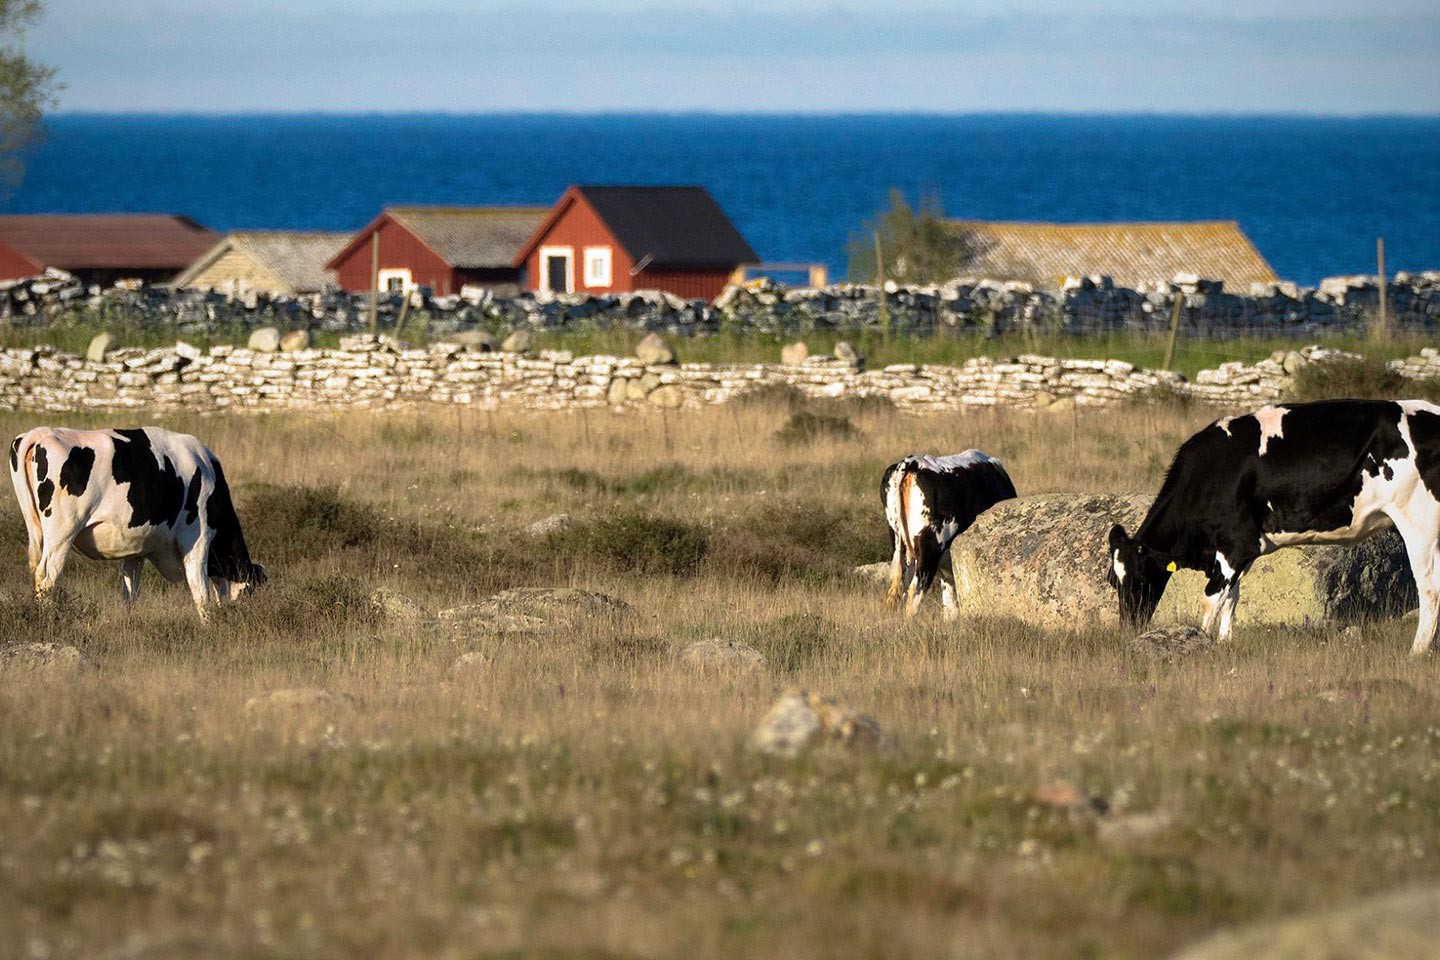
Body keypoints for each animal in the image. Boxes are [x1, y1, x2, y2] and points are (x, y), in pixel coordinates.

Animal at [9, 423, 264, 618]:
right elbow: (200, 591)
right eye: (251, 592)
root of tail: (41, 432)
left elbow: (130, 593)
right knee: (47, 577)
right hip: (62, 533)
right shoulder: (197, 538)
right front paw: (207, 626)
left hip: (38, 529)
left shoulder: (135, 551)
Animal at [1111, 397, 1440, 653]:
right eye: (1114, 581)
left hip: (1419, 522)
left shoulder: (1236, 544)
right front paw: (1225, 642)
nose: (1128, 625)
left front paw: (1197, 642)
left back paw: (1417, 651)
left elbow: (1212, 599)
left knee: (1429, 590)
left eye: (1140, 576)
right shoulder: (1240, 552)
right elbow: (1232, 598)